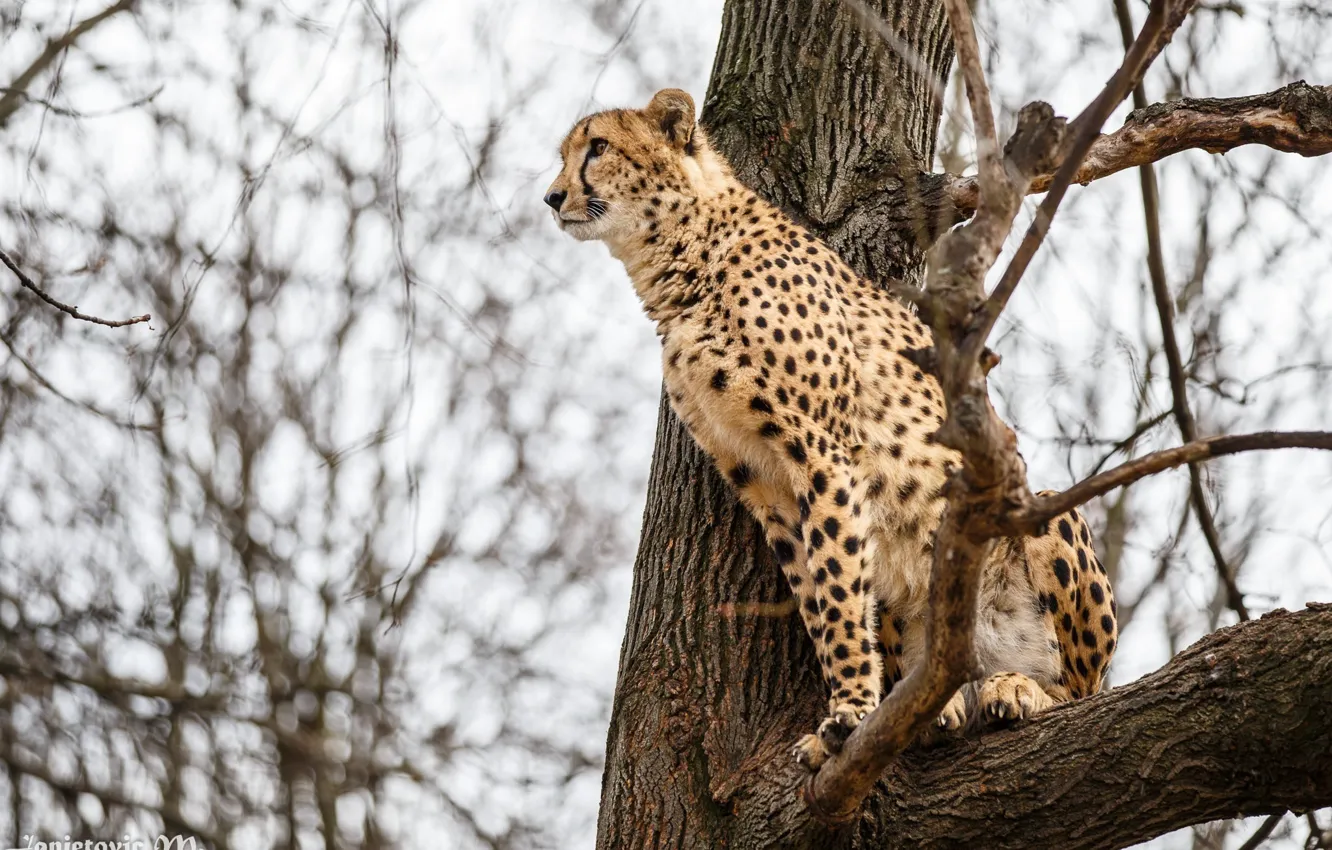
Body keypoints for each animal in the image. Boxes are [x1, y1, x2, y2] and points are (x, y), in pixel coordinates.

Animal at [545, 88, 1118, 770]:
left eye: (598, 148)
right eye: (565, 155)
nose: (551, 197)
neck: (686, 263)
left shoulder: (823, 448)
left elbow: (840, 590)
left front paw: (850, 714)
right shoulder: (761, 480)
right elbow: (818, 594)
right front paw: (845, 713)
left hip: (1041, 512)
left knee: (1082, 689)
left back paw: (1021, 689)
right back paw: (943, 706)